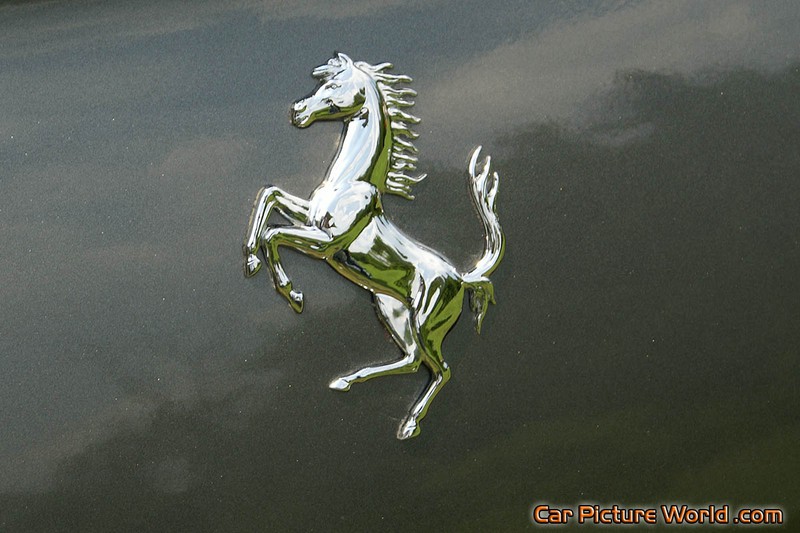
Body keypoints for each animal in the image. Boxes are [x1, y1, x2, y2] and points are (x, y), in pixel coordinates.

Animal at [243, 53, 504, 439]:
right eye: (323, 81)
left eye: (335, 84)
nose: (296, 110)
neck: (351, 179)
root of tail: (461, 276)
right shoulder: (309, 218)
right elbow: (268, 196)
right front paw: (249, 260)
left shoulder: (327, 245)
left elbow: (273, 234)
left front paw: (293, 294)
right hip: (390, 308)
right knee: (412, 360)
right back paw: (347, 381)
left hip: (427, 320)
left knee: (441, 369)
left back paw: (409, 424)